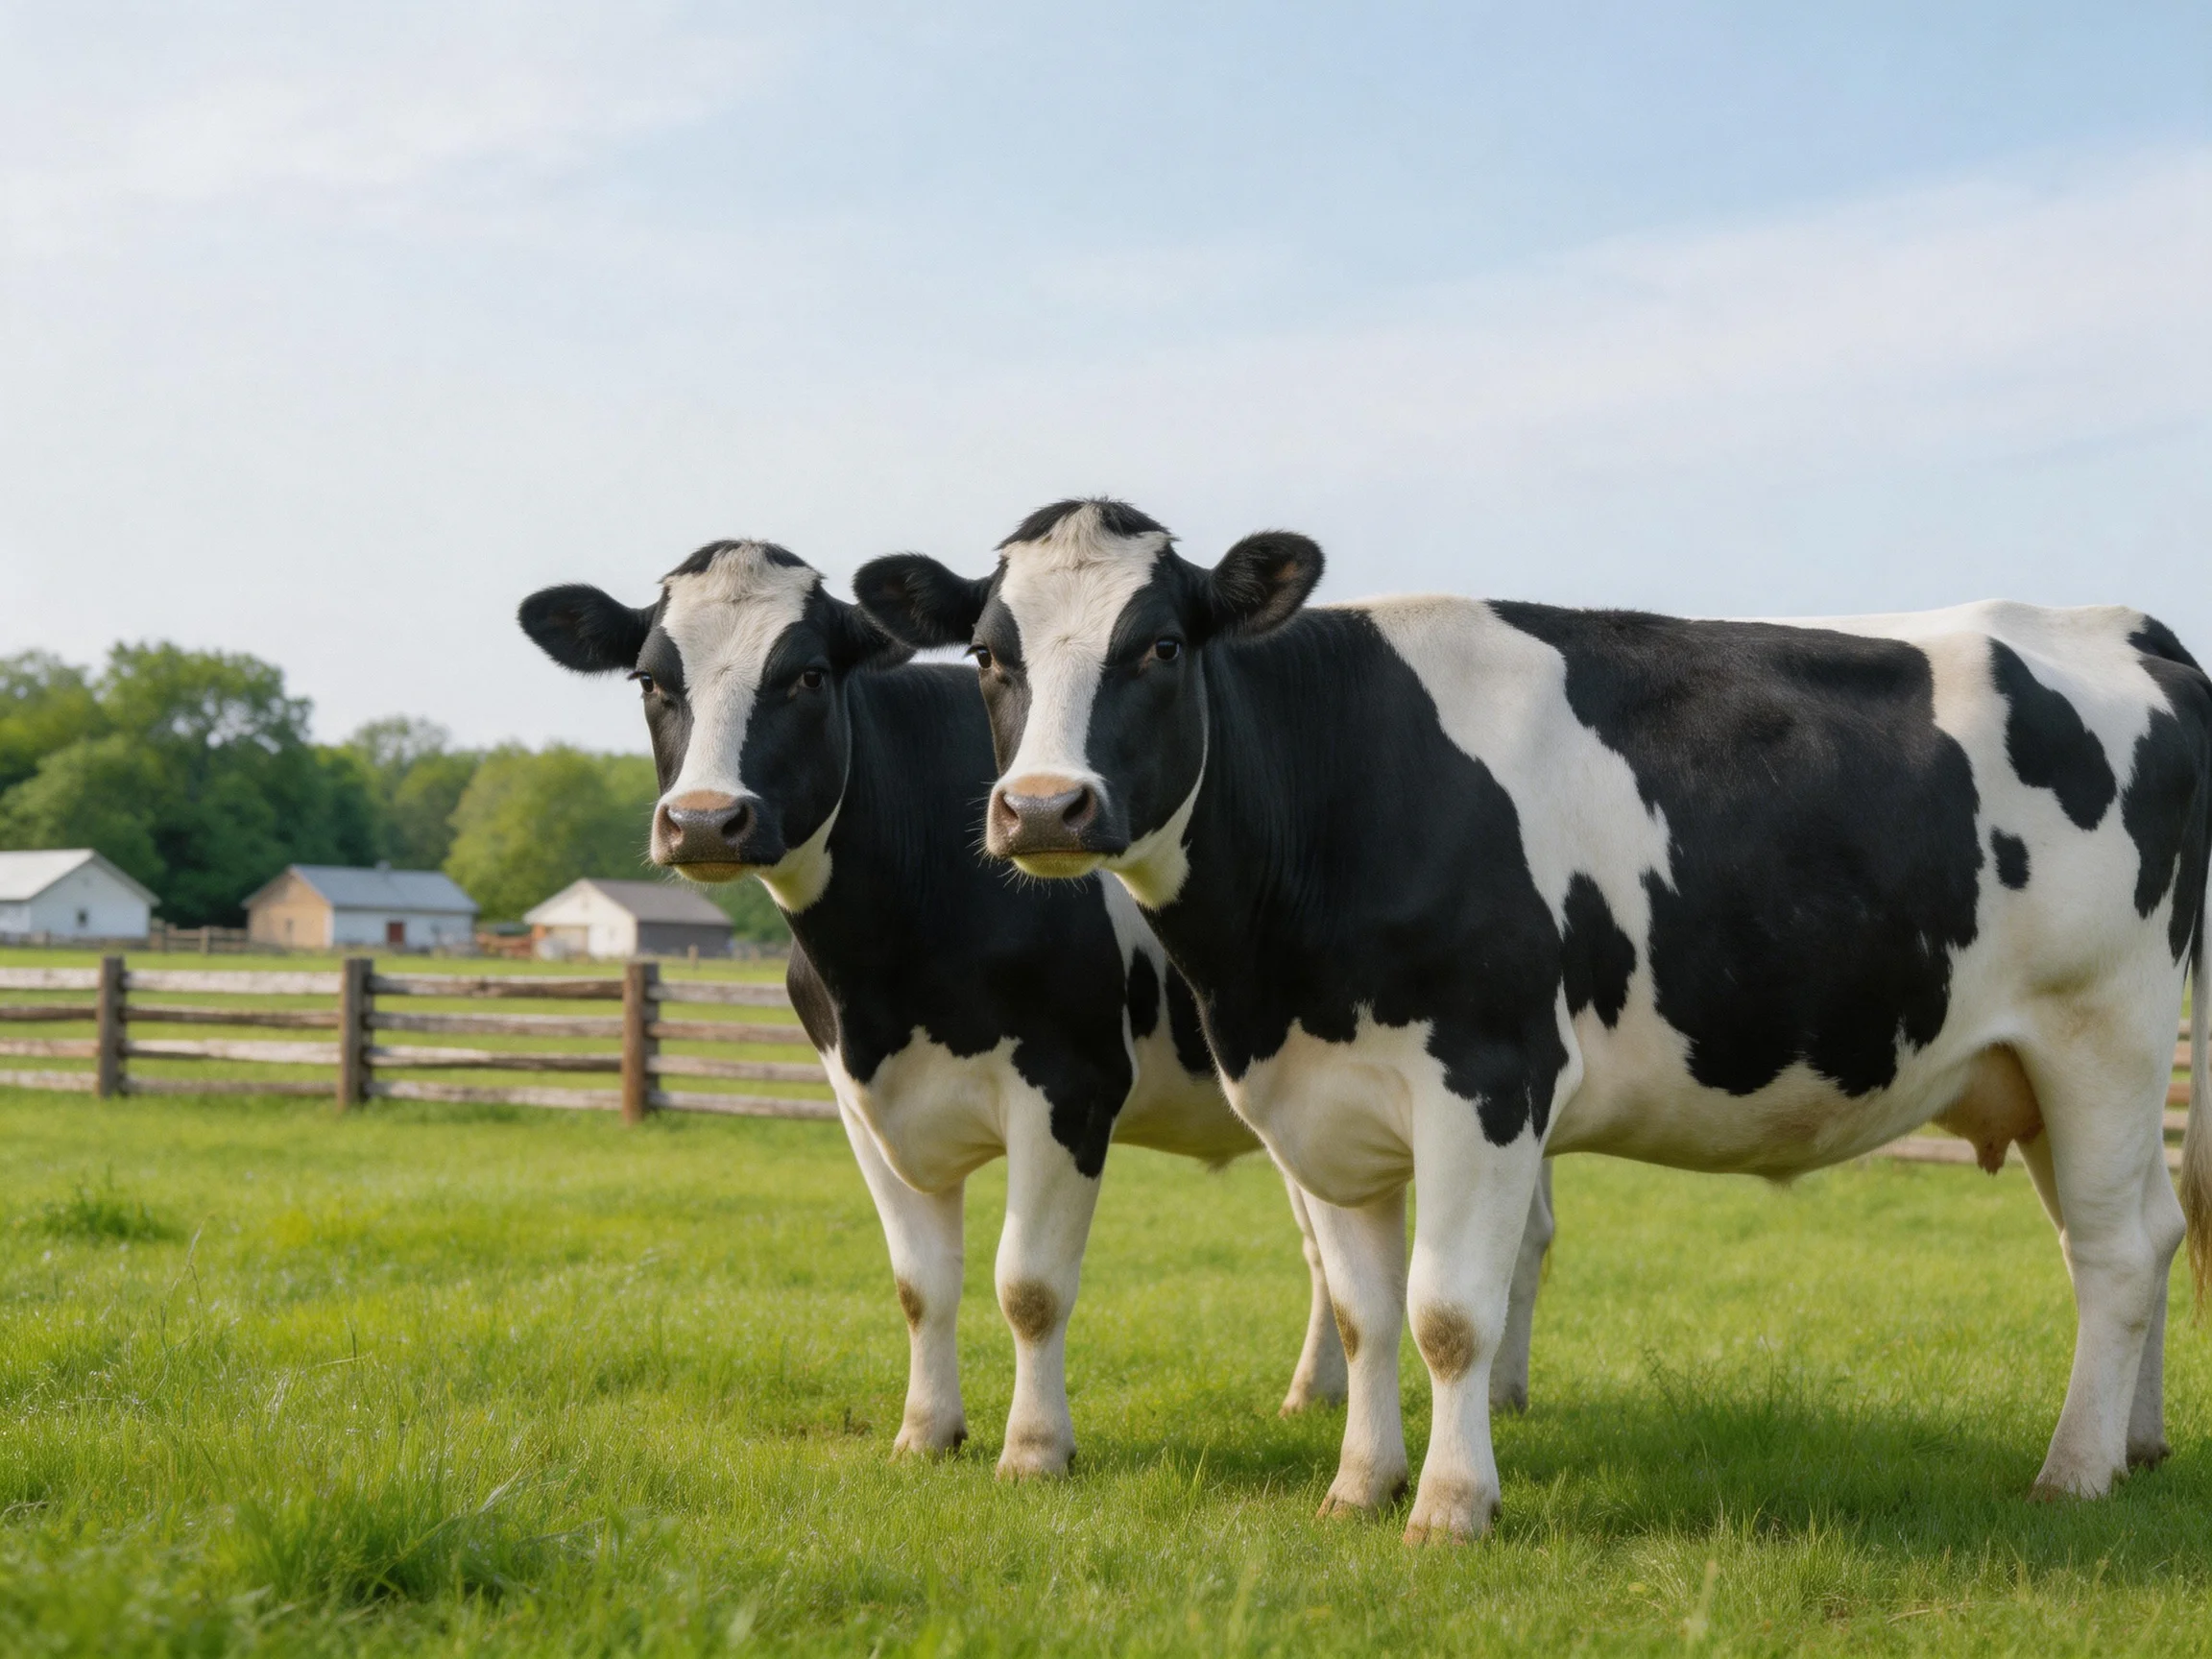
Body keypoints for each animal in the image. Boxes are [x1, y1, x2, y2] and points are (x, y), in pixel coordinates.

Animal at [518, 540, 1554, 1476]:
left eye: (807, 674)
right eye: (651, 680)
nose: (703, 820)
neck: (881, 970)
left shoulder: (1068, 1085)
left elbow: (1030, 1285)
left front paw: (1034, 1447)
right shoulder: (861, 1102)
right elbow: (920, 1286)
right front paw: (926, 1433)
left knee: (1518, 1237)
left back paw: (1502, 1395)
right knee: (1335, 1246)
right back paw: (1320, 1394)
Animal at [854, 497, 2212, 1541]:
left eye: (1161, 649)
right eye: (991, 656)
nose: (1044, 808)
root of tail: (2120, 626)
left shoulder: (1485, 1076)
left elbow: (1451, 1311)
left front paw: (1451, 1508)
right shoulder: (1323, 1098)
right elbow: (1365, 1312)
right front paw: (1359, 1488)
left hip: (2105, 1033)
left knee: (2117, 1251)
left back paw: (2073, 1473)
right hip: (2034, 1071)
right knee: (2133, 1232)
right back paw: (2136, 1449)